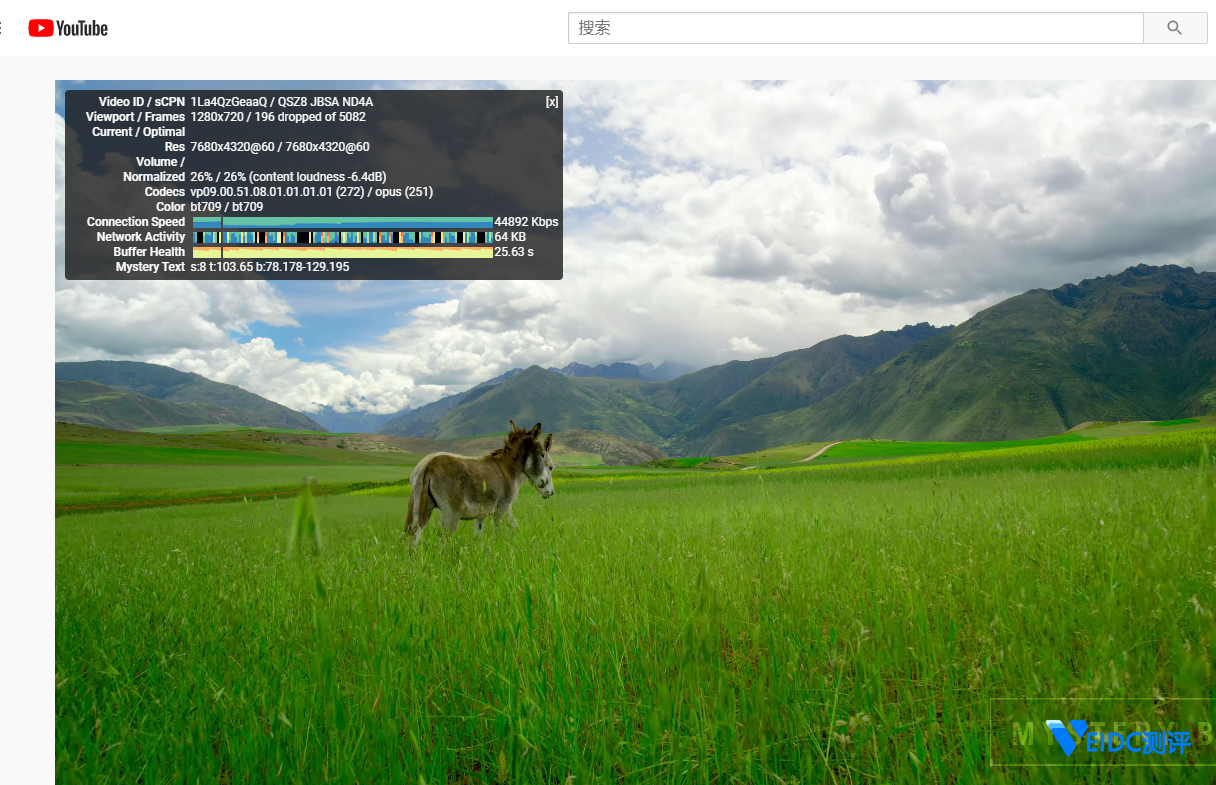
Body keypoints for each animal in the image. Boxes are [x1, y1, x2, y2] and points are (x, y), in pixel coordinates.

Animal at [404, 420, 555, 545]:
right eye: (550, 466)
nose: (551, 492)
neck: (507, 469)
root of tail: (427, 464)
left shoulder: (484, 514)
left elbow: (480, 536)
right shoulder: (502, 508)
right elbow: (500, 531)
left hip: (422, 509)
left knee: (413, 538)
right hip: (452, 513)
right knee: (444, 542)